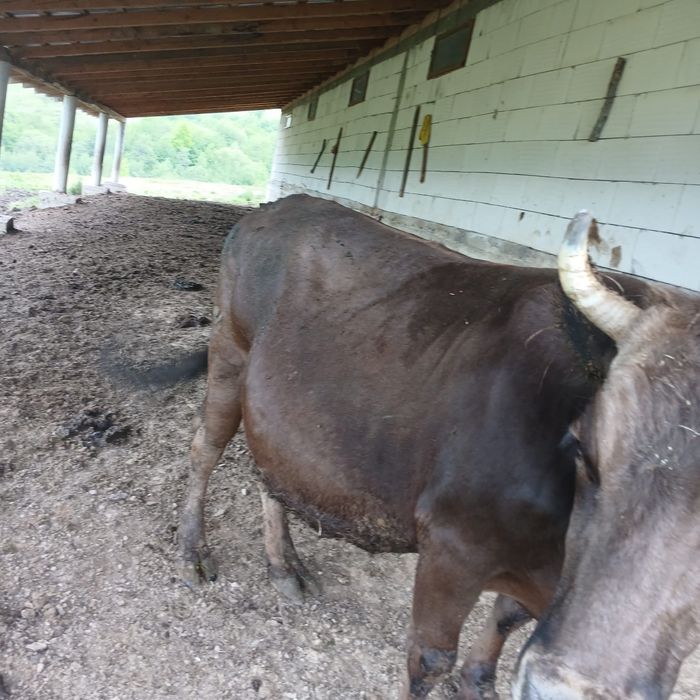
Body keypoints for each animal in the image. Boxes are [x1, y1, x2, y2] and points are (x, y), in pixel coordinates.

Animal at [176, 194, 699, 699]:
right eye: (583, 448)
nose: (562, 690)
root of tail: (277, 206)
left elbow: (506, 616)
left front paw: (479, 679)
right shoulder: (452, 543)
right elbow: (429, 660)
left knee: (268, 471)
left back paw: (284, 566)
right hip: (229, 351)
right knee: (205, 448)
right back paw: (193, 550)